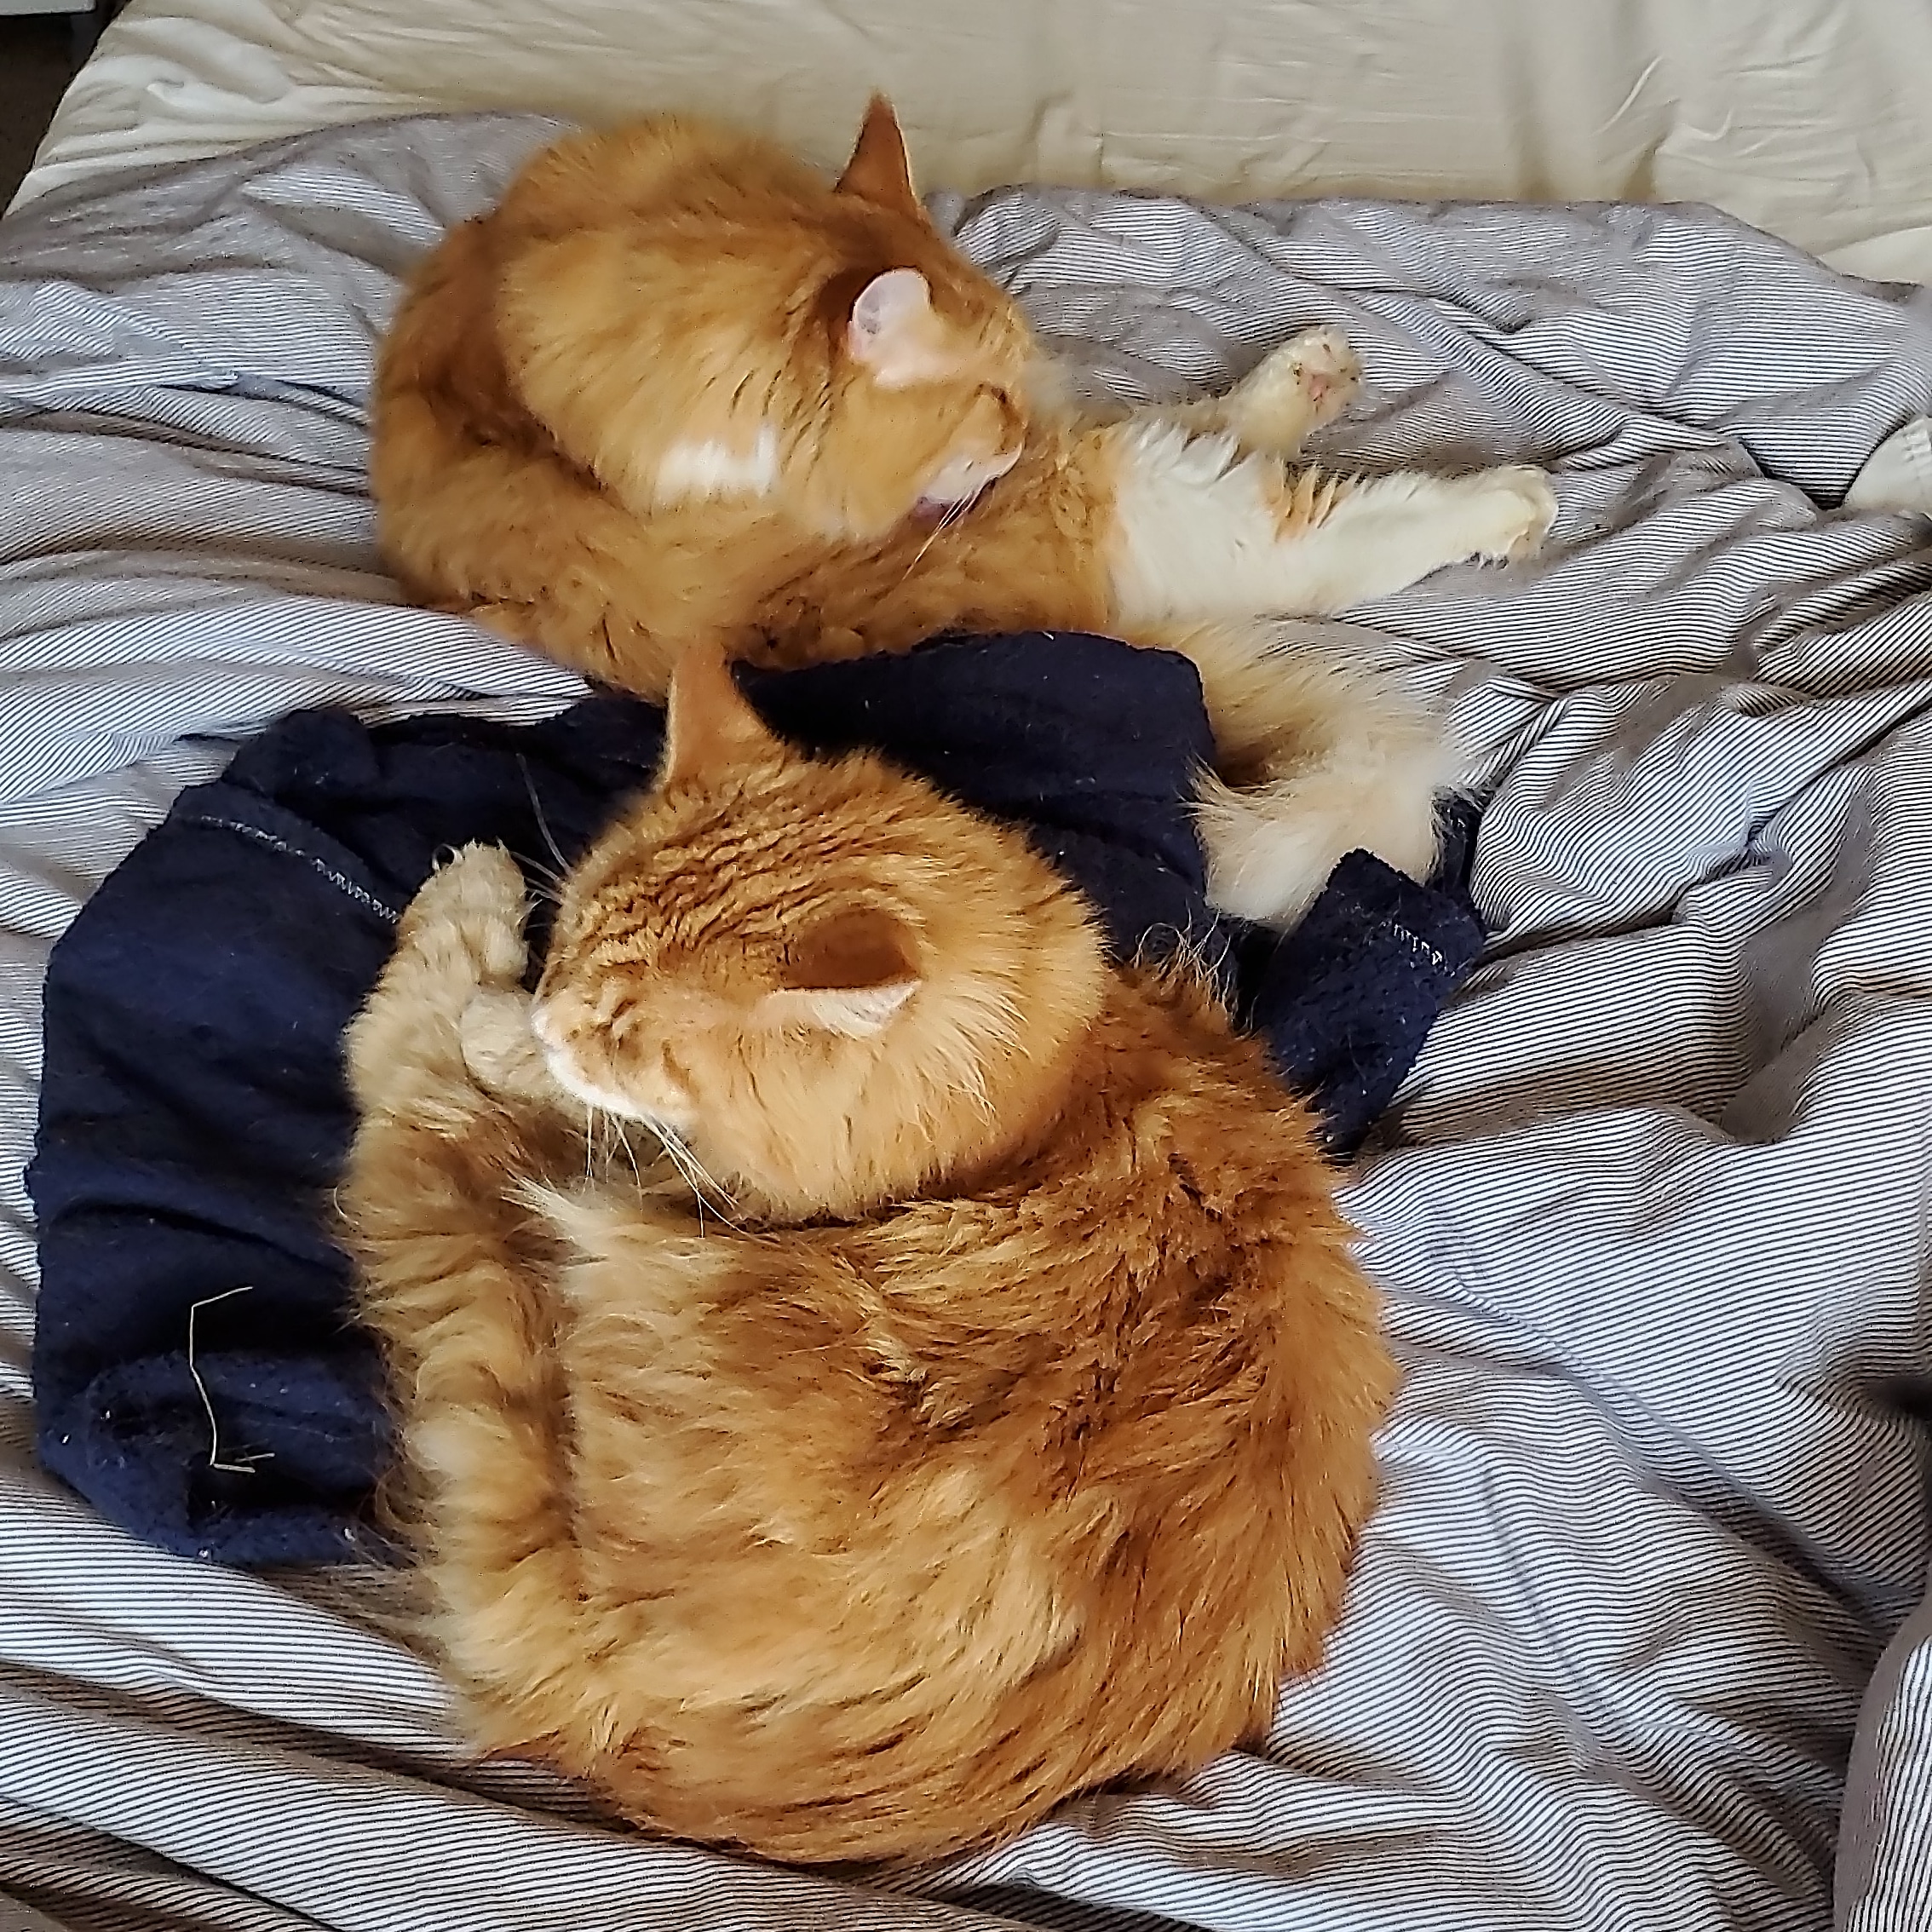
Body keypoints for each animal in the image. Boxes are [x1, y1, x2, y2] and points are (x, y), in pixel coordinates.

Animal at [339, 644, 1401, 1865]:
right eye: (567, 952)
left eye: (624, 1031)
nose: (552, 1009)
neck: (1038, 1098)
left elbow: (535, 1081)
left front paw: (502, 1026)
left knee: (403, 1078)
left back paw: (465, 906)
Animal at [371, 98, 1557, 926]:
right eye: (981, 400)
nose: (1019, 426)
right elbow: (1319, 528)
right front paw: (1503, 504)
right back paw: (1496, 499)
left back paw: (1309, 375)